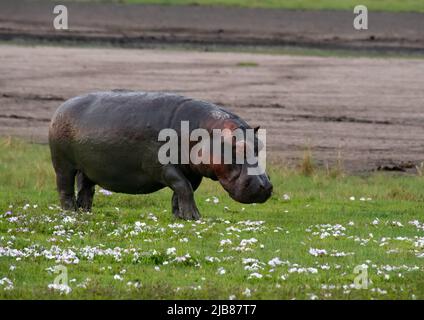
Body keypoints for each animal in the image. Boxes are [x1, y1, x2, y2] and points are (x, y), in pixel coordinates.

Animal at [48, 90, 274, 220]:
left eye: (259, 145)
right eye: (237, 148)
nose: (264, 186)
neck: (205, 132)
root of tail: (61, 107)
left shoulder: (192, 172)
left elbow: (183, 191)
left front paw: (179, 216)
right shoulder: (162, 167)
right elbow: (183, 187)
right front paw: (194, 217)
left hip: (88, 168)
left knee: (86, 189)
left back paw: (85, 212)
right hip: (63, 164)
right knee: (64, 188)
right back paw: (70, 212)